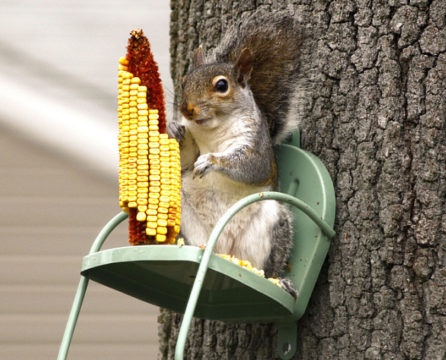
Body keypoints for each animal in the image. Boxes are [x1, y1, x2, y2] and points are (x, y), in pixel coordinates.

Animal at [168, 11, 304, 296]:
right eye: (185, 81)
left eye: (222, 85)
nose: (186, 109)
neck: (212, 129)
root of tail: (223, 250)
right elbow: (186, 159)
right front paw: (174, 129)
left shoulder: (256, 145)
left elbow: (251, 167)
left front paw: (212, 161)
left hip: (271, 223)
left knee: (270, 263)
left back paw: (278, 280)